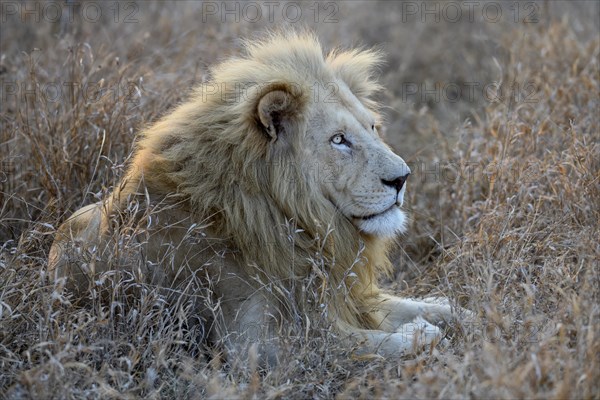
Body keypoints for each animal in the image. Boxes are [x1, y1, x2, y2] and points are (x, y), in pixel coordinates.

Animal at [49, 30, 466, 362]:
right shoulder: (257, 343)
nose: (403, 178)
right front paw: (421, 334)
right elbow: (362, 342)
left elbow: (401, 304)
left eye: (372, 127)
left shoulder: (333, 294)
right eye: (338, 140)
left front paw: (457, 311)